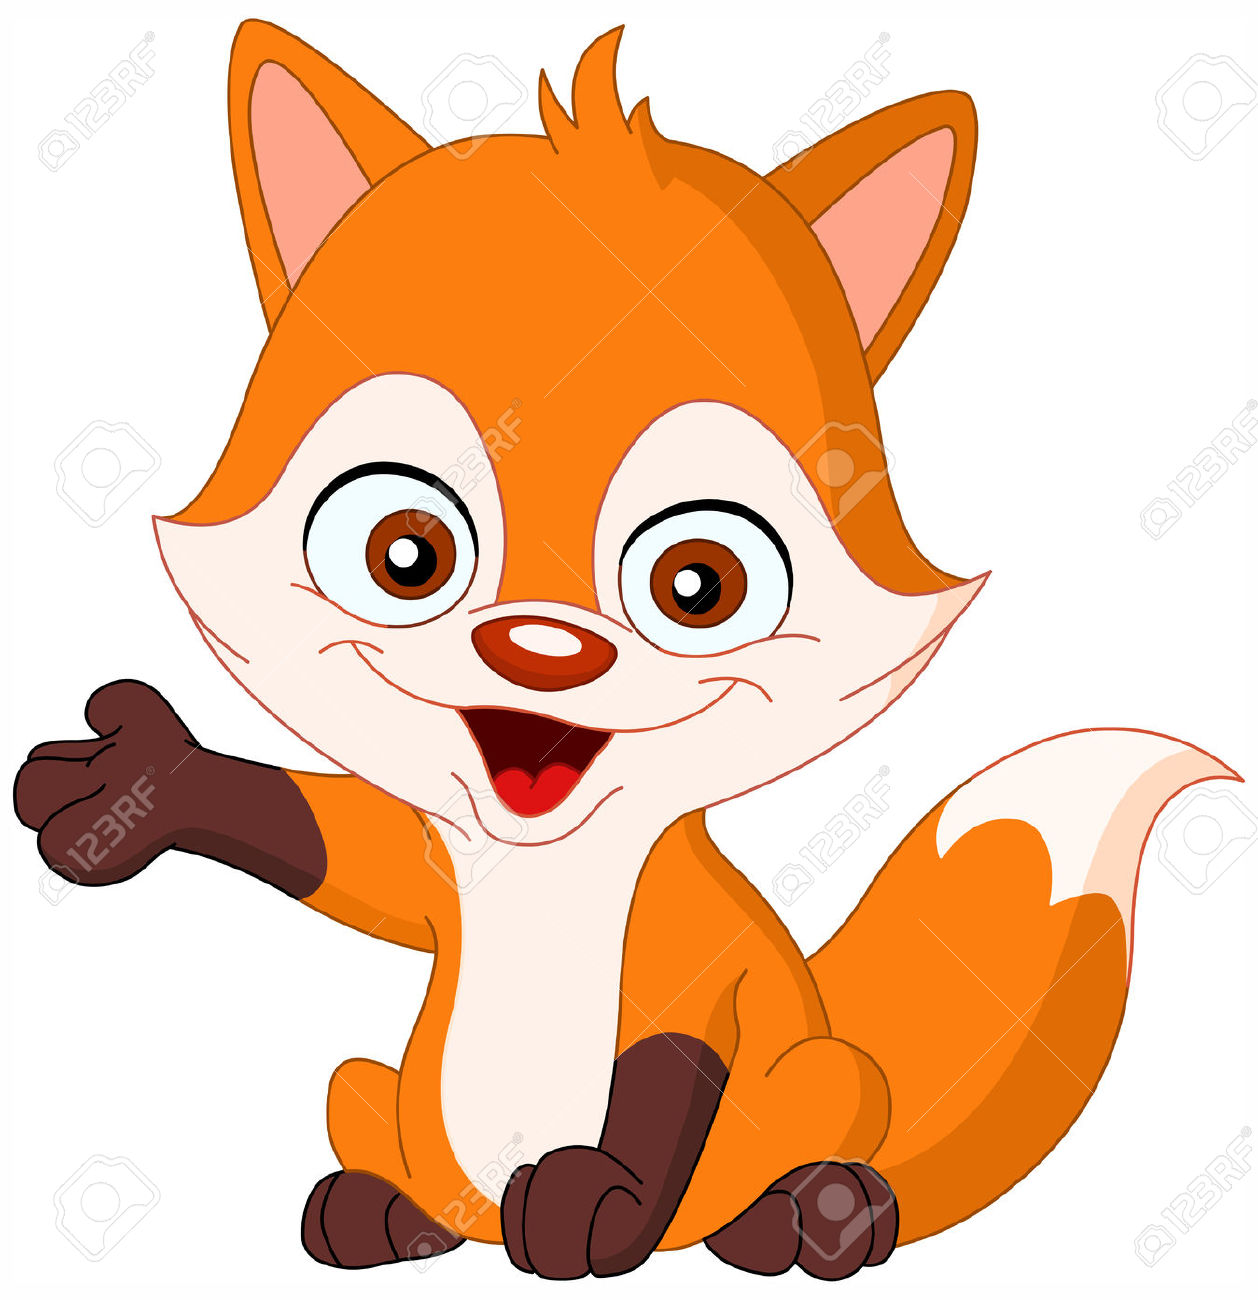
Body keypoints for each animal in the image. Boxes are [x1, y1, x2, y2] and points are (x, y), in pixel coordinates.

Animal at [13, 19, 1240, 1282]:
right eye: (404, 552)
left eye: (697, 582)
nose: (539, 649)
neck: (547, 866)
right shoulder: (432, 866)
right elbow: (329, 839)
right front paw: (143, 783)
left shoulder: (687, 950)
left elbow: (659, 1078)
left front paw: (591, 1200)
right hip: (376, 1084)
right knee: (371, 1110)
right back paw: (385, 1211)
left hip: (819, 1076)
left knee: (822, 1127)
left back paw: (811, 1215)